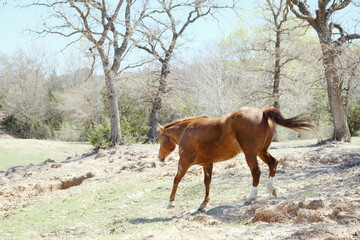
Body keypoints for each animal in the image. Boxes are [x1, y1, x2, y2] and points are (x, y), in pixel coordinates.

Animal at [156, 107, 316, 210]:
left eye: (161, 137)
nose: (159, 157)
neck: (187, 130)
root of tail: (263, 112)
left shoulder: (184, 162)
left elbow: (176, 179)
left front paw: (171, 203)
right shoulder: (207, 164)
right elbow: (207, 183)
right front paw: (204, 203)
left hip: (250, 154)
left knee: (256, 172)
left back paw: (251, 198)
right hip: (262, 152)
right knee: (273, 163)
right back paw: (271, 189)